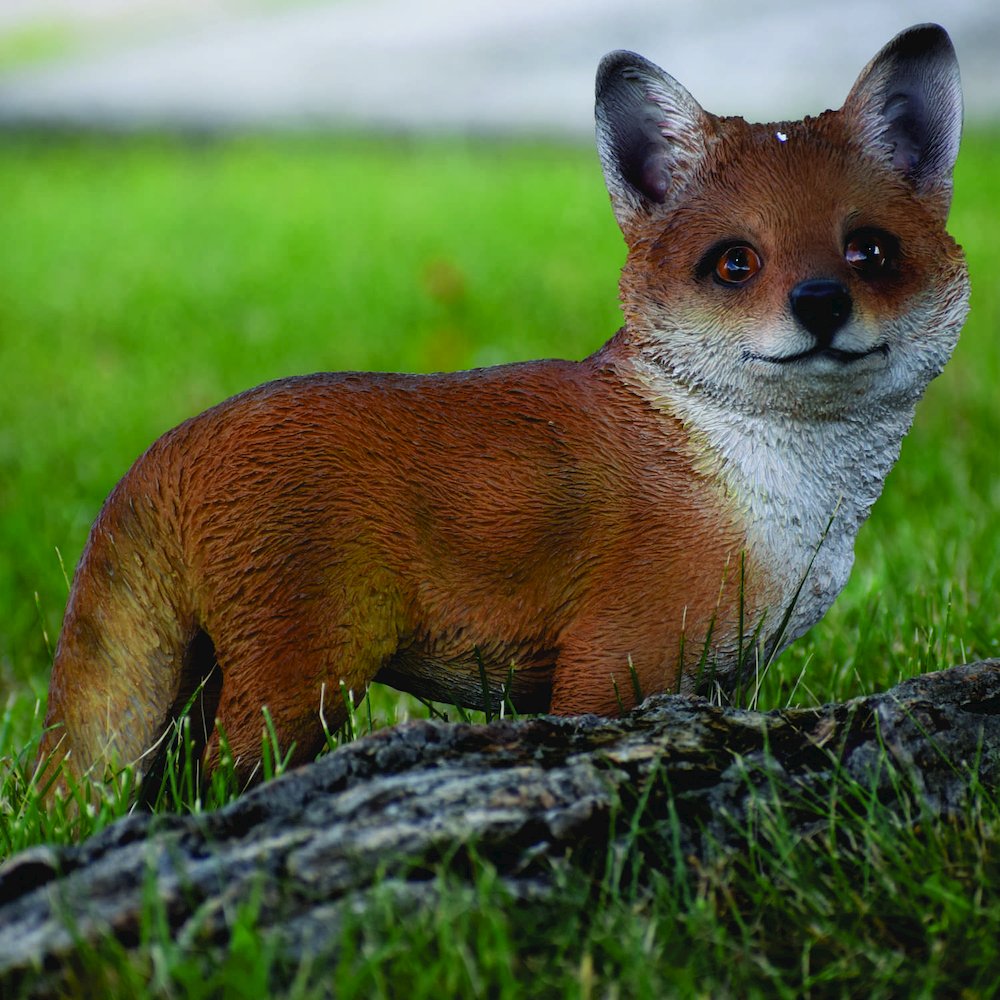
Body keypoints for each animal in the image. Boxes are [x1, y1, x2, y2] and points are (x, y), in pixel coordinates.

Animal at [37, 24, 969, 796]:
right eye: (736, 263)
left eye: (869, 251)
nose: (821, 303)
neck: (773, 504)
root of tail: (171, 446)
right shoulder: (611, 664)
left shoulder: (715, 680)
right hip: (304, 676)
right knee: (210, 782)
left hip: (212, 675)